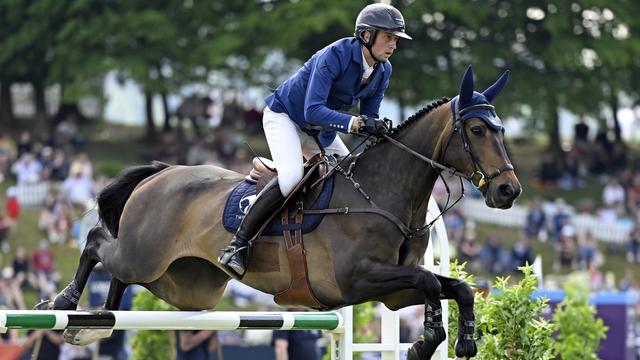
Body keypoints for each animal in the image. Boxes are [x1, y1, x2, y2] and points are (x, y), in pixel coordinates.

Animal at [43, 66, 520, 358]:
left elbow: (457, 287)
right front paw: (428, 340)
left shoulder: (393, 292)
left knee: (122, 273)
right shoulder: (359, 279)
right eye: (477, 129)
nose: (508, 190)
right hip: (146, 254)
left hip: (184, 285)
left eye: (500, 129)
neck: (381, 194)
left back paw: (98, 318)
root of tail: (162, 172)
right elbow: (430, 282)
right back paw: (67, 301)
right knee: (98, 243)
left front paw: (464, 340)